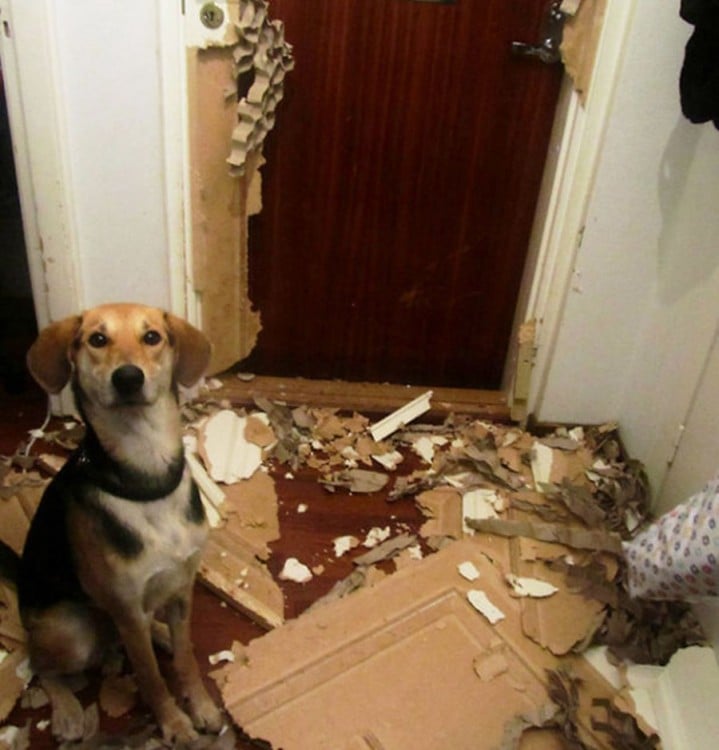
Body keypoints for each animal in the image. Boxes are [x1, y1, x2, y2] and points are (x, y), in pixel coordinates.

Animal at [7, 304, 224, 748]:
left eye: (152, 337)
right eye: (97, 340)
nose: (128, 378)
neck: (145, 479)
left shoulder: (182, 590)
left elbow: (187, 660)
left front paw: (202, 707)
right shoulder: (126, 610)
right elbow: (151, 678)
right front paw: (175, 725)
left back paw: (161, 634)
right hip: (72, 632)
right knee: (41, 664)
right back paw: (68, 710)